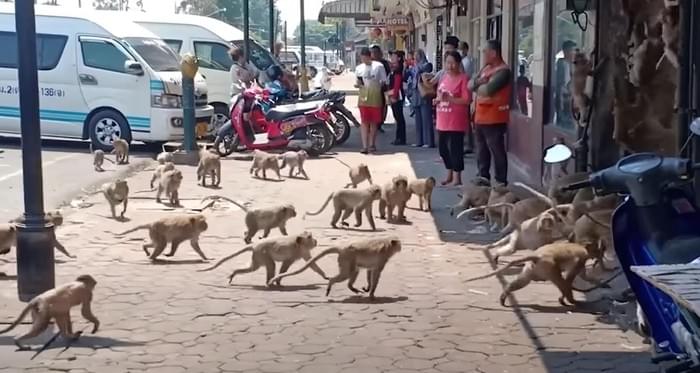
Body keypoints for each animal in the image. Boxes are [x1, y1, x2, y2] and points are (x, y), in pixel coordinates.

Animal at [197, 231, 328, 286]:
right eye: (310, 237)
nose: (315, 241)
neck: (298, 243)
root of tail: (255, 245)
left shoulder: (303, 251)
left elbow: (312, 264)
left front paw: (325, 276)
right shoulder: (297, 252)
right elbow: (286, 265)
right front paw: (278, 280)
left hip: (257, 255)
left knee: (253, 268)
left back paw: (235, 273)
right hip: (262, 253)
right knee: (271, 265)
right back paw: (269, 283)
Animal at [268, 235, 402, 300]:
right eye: (399, 244)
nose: (400, 247)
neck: (386, 242)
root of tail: (342, 248)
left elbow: (370, 271)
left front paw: (368, 288)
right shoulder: (384, 257)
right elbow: (376, 273)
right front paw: (372, 294)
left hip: (346, 259)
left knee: (354, 271)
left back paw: (351, 288)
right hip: (347, 258)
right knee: (348, 273)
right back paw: (331, 283)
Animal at [464, 241, 608, 306]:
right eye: (597, 251)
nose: (600, 255)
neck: (583, 246)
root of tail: (537, 256)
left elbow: (584, 276)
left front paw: (601, 283)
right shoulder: (581, 260)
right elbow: (570, 278)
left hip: (532, 268)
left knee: (523, 281)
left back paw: (504, 294)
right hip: (549, 266)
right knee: (560, 281)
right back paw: (571, 300)